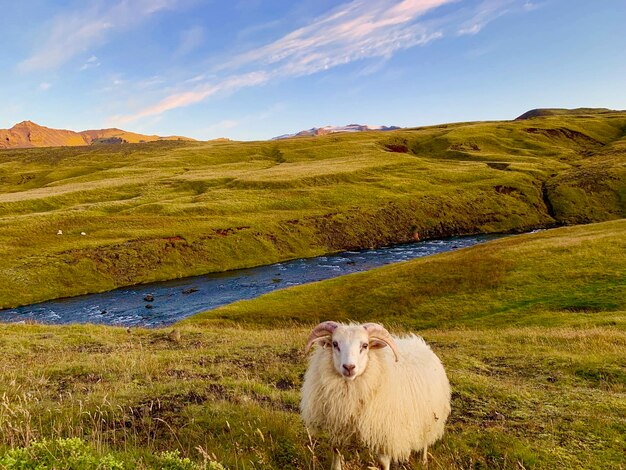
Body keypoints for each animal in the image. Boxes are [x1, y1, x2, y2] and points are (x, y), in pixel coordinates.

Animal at [298, 322, 448, 468]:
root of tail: (419, 343)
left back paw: (424, 460)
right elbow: (336, 455)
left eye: (365, 345)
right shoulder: (338, 427)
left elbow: (383, 463)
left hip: (429, 416)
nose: (349, 367)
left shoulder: (385, 431)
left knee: (426, 439)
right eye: (335, 344)